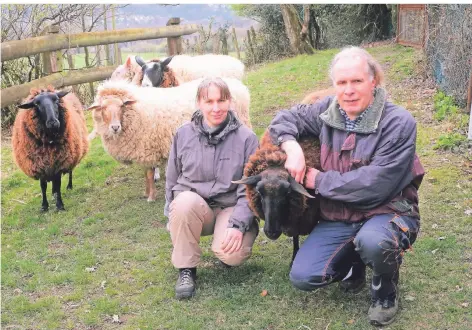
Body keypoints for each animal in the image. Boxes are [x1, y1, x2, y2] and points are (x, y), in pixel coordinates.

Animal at [88, 77, 251, 201]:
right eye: (103, 108)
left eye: (121, 106)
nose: (115, 127)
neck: (137, 112)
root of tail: (239, 85)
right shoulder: (142, 150)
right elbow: (145, 174)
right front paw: (146, 192)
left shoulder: (148, 148)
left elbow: (149, 174)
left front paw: (151, 197)